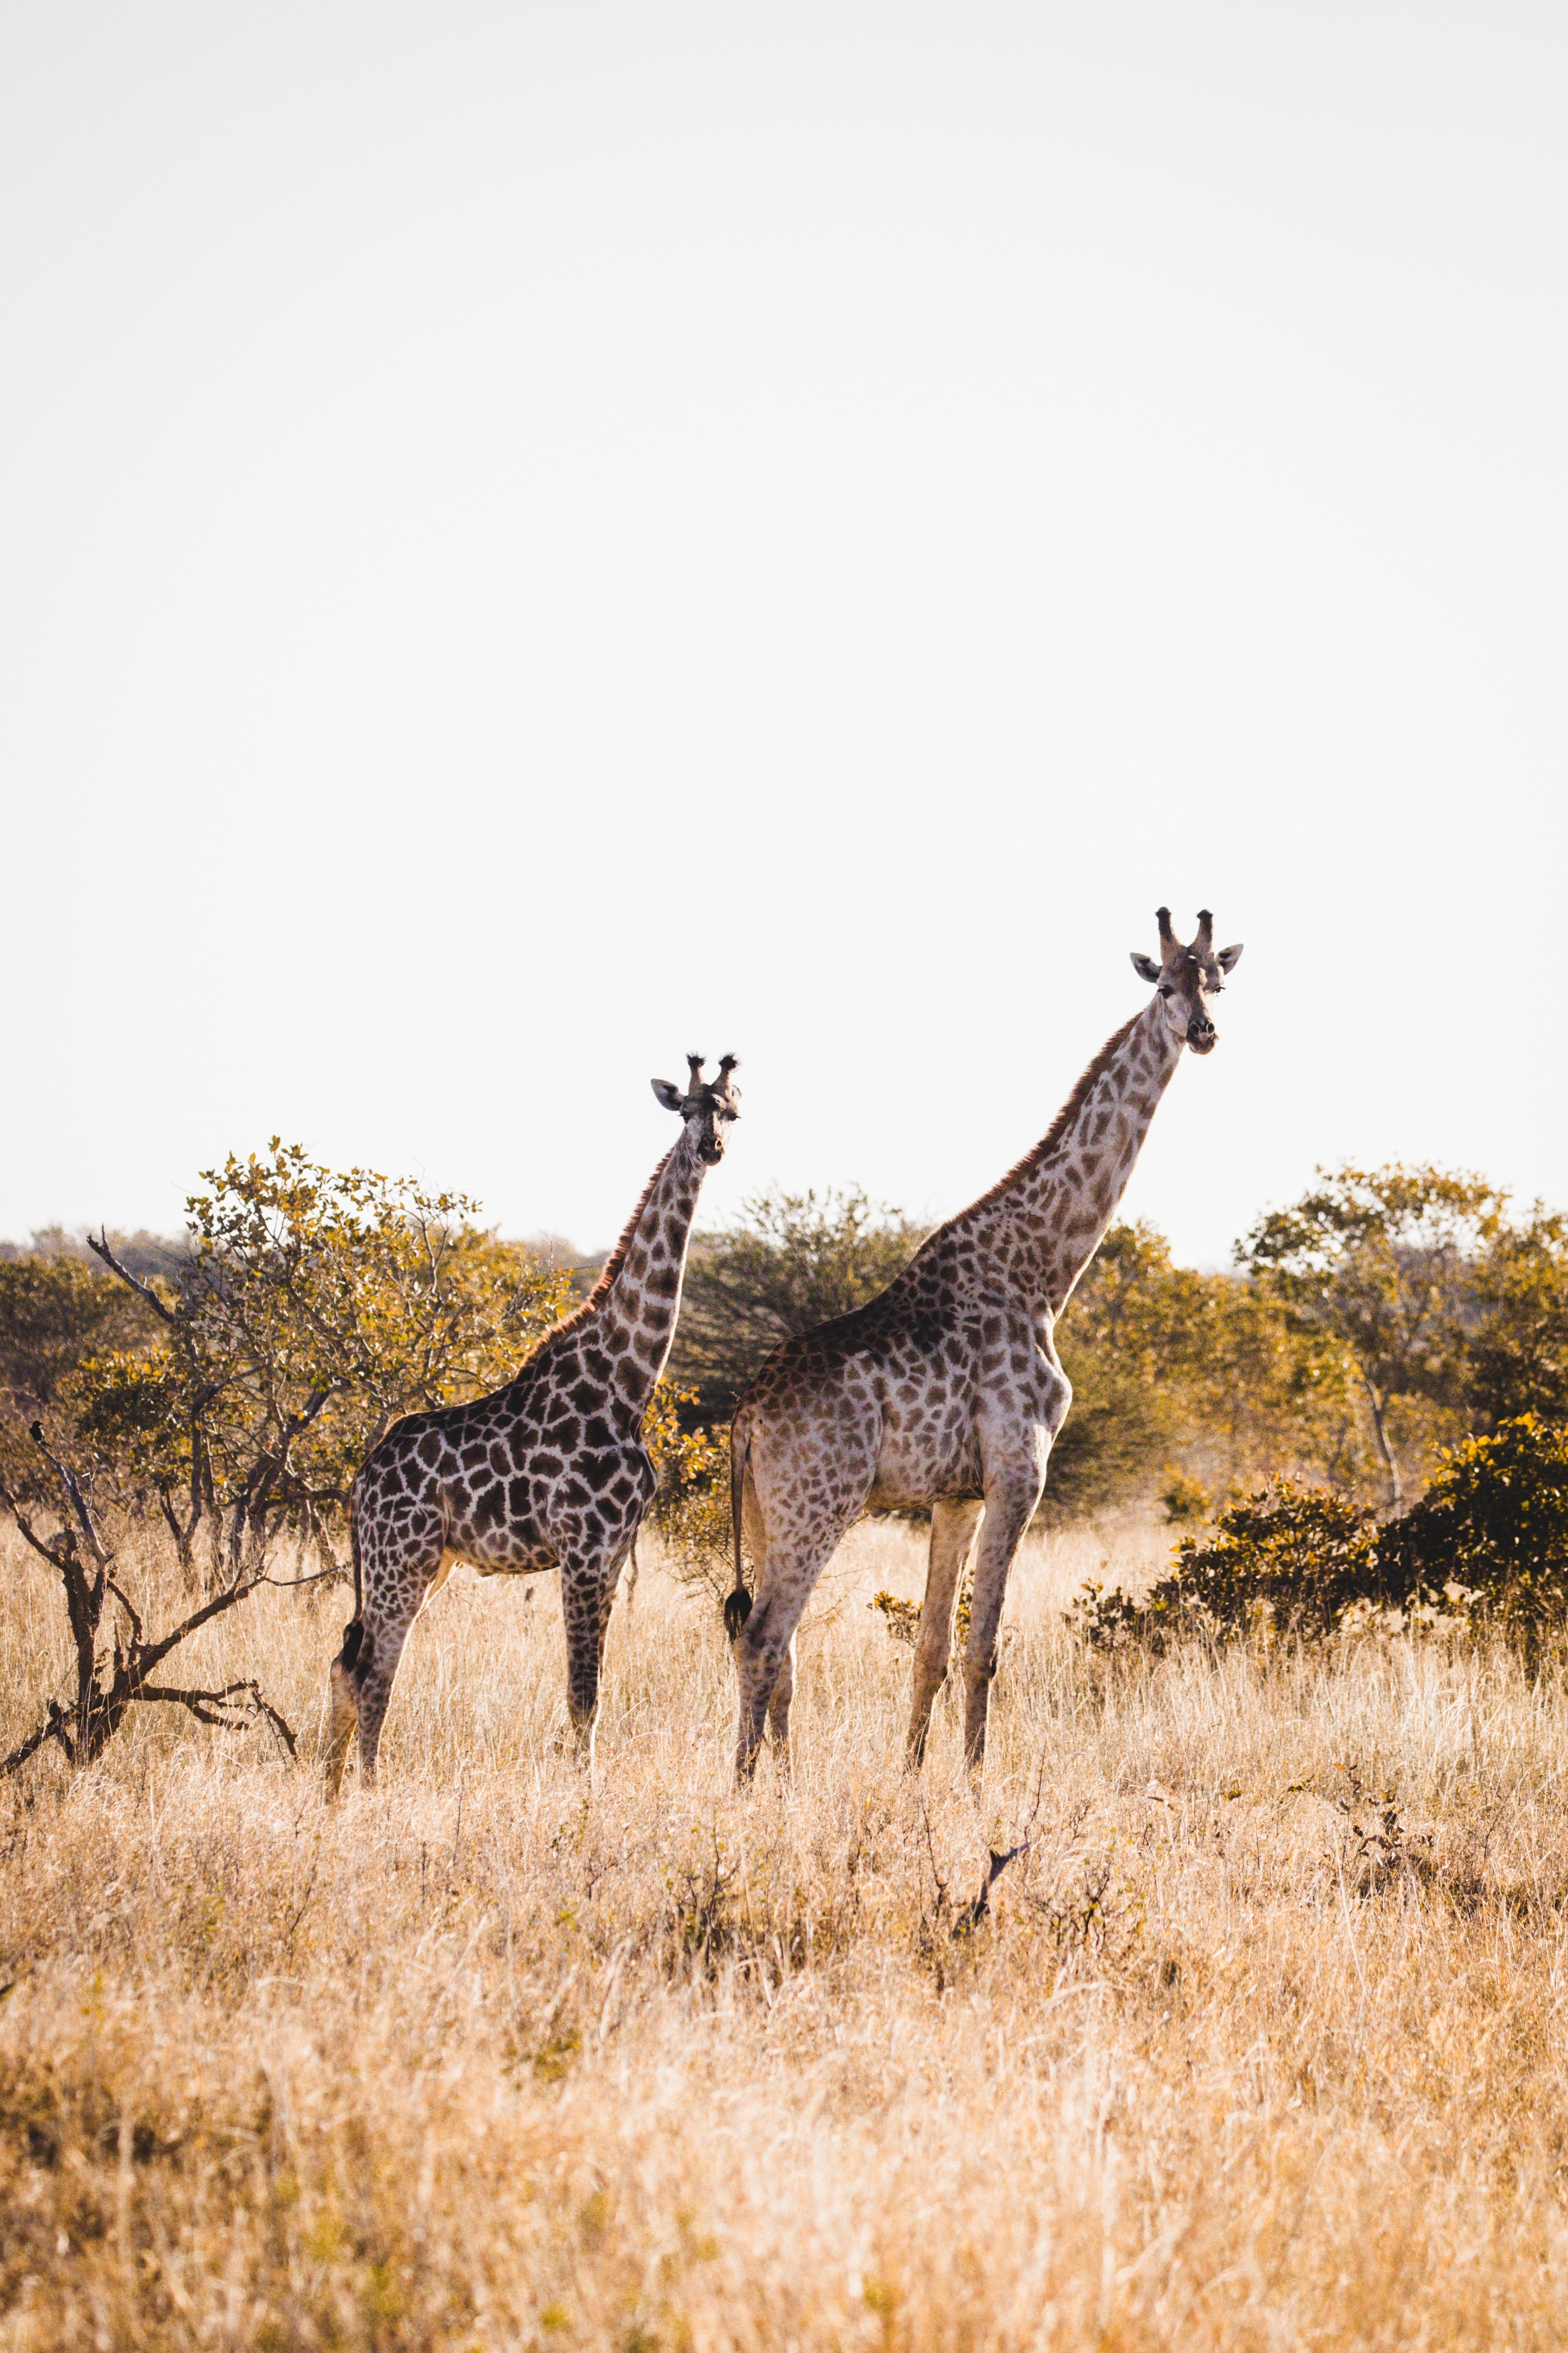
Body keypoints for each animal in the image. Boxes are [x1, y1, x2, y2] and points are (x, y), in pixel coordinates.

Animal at [325, 1054, 740, 1795]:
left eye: (730, 1111)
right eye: (687, 1109)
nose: (710, 1148)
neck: (627, 1381)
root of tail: (361, 1481)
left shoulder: (614, 1552)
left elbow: (592, 1693)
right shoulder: (583, 1547)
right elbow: (583, 1693)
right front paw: (584, 1799)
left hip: (423, 1561)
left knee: (348, 1663)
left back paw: (328, 1793)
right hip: (402, 1558)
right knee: (373, 1673)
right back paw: (367, 1790)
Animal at [722, 909, 1242, 1782]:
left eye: (1217, 980)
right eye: (1165, 986)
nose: (1202, 1032)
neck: (1040, 1272)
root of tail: (745, 1416)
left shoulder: (954, 1492)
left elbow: (930, 1646)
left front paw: (910, 1779)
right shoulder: (1017, 1470)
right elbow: (984, 1647)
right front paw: (973, 1782)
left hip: (766, 1514)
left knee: (768, 1644)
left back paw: (782, 1783)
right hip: (817, 1503)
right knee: (765, 1636)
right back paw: (747, 1789)